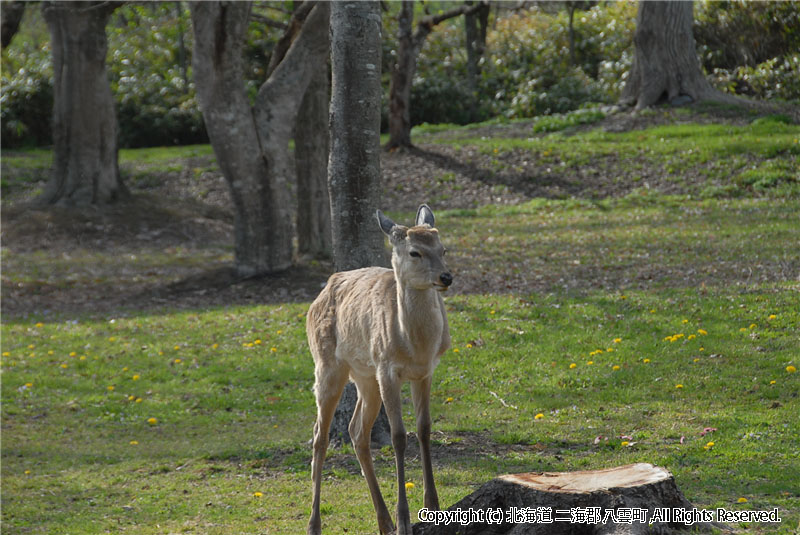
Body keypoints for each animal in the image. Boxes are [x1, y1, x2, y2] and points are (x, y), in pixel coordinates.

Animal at [306, 205, 454, 535]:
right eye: (415, 252)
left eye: (443, 249)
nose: (446, 276)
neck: (415, 346)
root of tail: (320, 294)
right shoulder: (388, 368)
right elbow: (399, 435)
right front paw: (405, 519)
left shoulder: (426, 371)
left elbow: (424, 428)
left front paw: (433, 507)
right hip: (327, 364)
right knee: (320, 435)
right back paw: (314, 524)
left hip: (365, 376)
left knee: (356, 430)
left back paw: (383, 521)